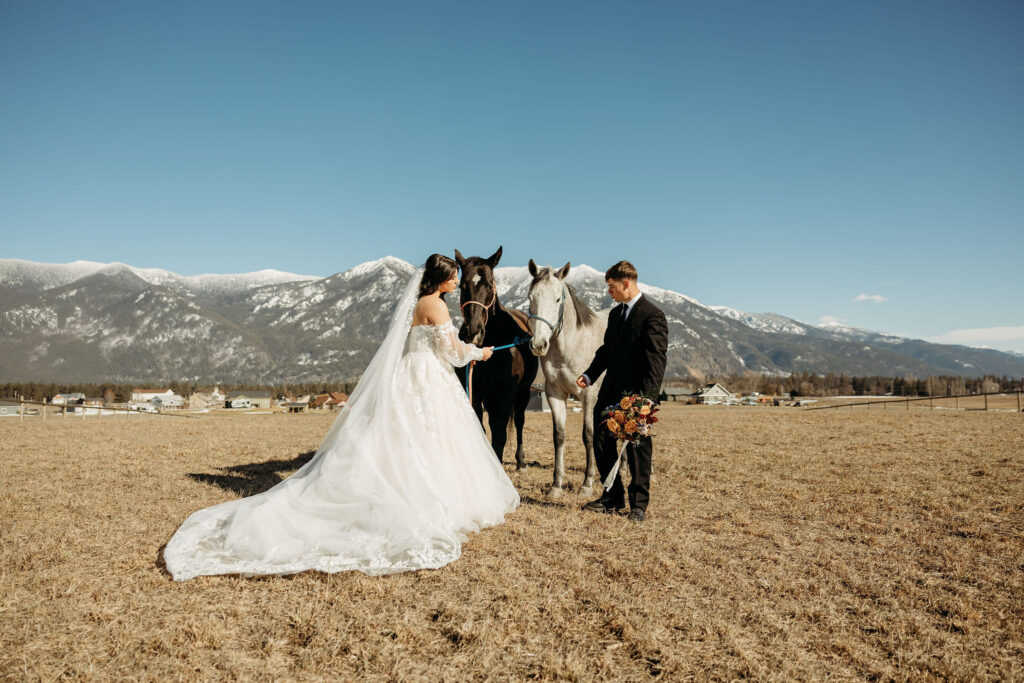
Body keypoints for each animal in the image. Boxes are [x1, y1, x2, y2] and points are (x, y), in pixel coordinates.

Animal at [454, 246, 536, 471]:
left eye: (489, 285)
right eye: (462, 286)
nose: (473, 333)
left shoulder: (505, 393)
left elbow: (499, 435)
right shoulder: (474, 391)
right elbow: (482, 430)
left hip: (523, 392)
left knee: (519, 421)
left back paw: (521, 461)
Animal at [528, 259, 606, 499]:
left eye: (557, 299)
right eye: (530, 297)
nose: (538, 344)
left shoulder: (588, 395)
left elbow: (588, 435)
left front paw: (587, 484)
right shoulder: (555, 394)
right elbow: (559, 436)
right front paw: (556, 485)